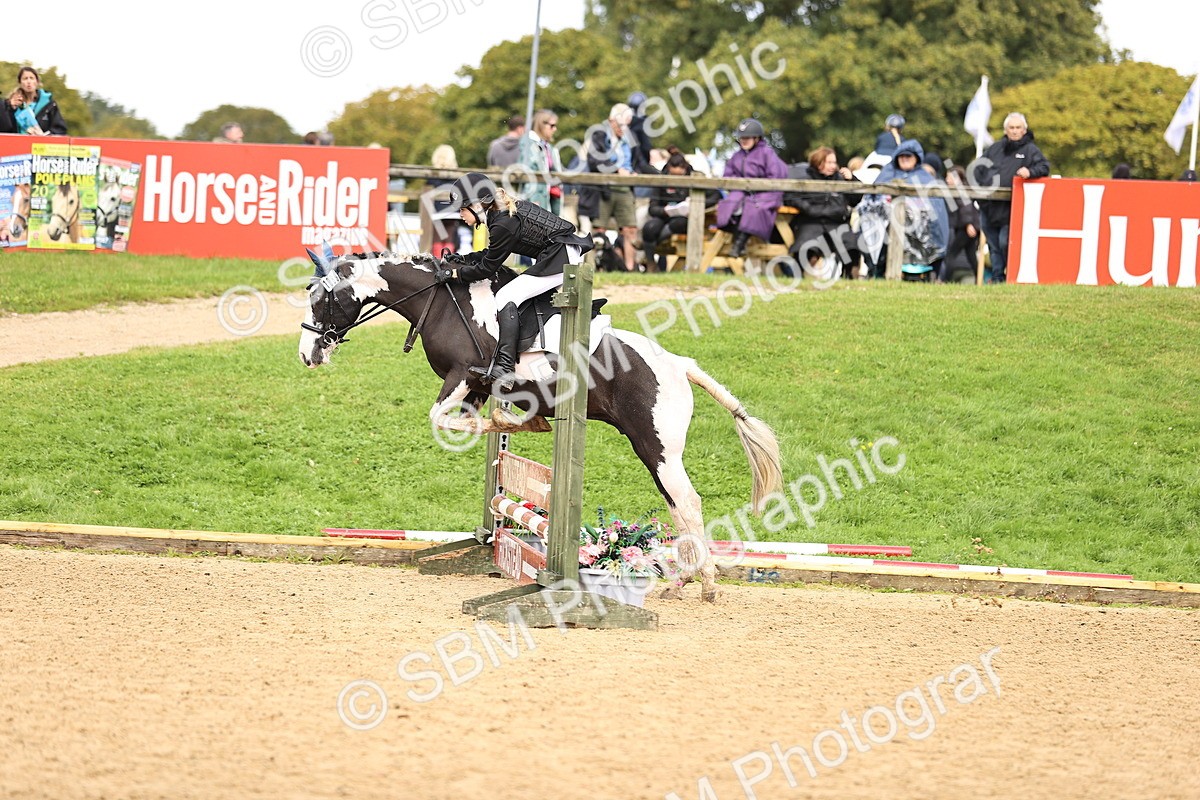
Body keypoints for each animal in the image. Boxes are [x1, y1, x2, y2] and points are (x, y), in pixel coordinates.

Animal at [297, 248, 783, 601]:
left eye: (321, 299)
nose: (307, 355)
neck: (445, 304)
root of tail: (680, 365)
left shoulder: (464, 374)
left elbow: (442, 418)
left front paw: (519, 423)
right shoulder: (477, 386)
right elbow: (472, 423)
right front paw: (515, 423)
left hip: (657, 446)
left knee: (688, 503)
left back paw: (706, 584)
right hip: (652, 450)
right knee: (678, 507)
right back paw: (684, 582)